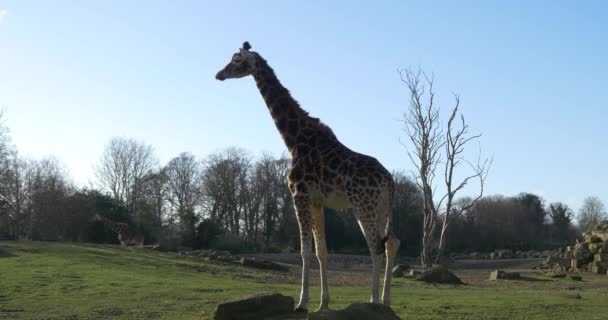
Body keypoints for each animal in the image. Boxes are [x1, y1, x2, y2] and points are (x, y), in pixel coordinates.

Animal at [216, 42, 402, 310]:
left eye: (236, 60)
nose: (219, 74)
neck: (294, 139)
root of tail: (390, 182)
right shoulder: (317, 201)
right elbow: (321, 250)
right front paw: (323, 302)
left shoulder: (299, 195)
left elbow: (304, 250)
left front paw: (302, 302)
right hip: (381, 209)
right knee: (391, 242)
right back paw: (385, 300)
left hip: (363, 206)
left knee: (375, 246)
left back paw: (373, 300)